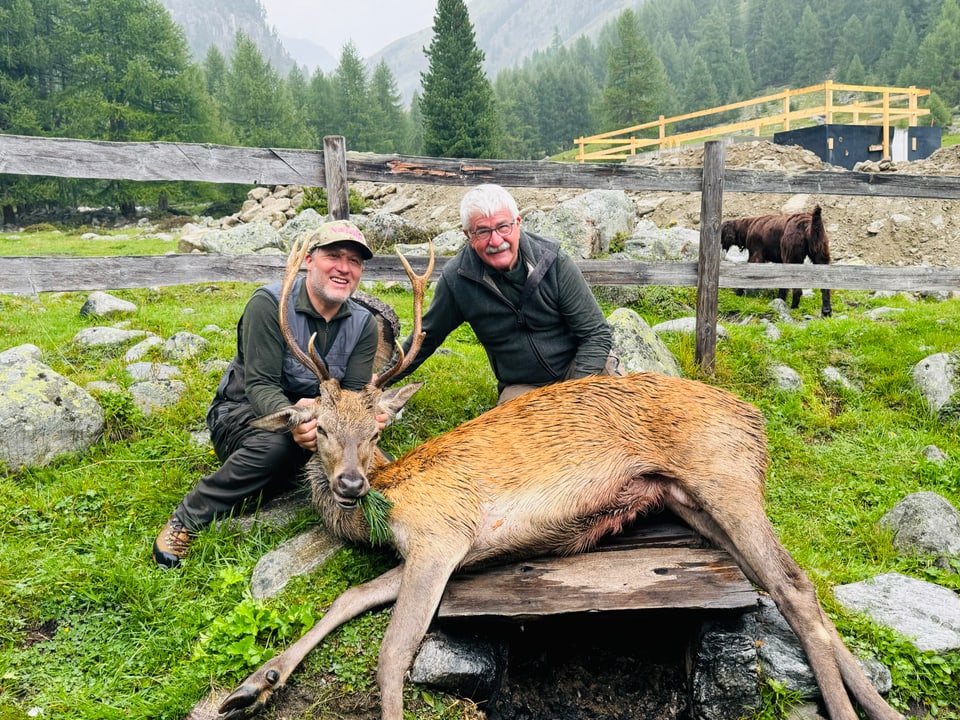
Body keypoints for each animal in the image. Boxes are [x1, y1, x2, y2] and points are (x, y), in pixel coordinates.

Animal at [202, 238, 900, 720]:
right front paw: (252, 685)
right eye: (317, 428)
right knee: (782, 585)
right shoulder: (432, 550)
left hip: (723, 474)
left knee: (796, 585)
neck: (390, 498)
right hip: (691, 502)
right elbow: (347, 598)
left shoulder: (443, 534)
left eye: (375, 431)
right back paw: (879, 705)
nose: (350, 484)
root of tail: (754, 417)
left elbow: (393, 650)